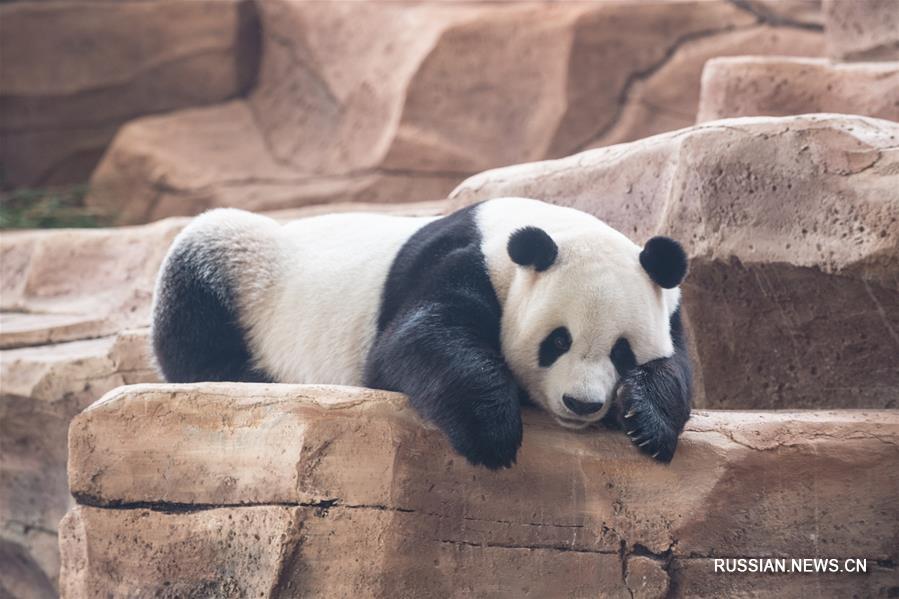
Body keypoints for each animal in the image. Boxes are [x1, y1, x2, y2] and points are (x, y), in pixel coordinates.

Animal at [151, 199, 692, 472]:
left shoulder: (668, 309)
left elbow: (679, 371)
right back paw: (243, 373)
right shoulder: (461, 260)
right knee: (203, 259)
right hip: (247, 266)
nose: (582, 404)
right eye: (557, 341)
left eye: (622, 353)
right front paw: (492, 432)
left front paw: (647, 422)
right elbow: (417, 340)